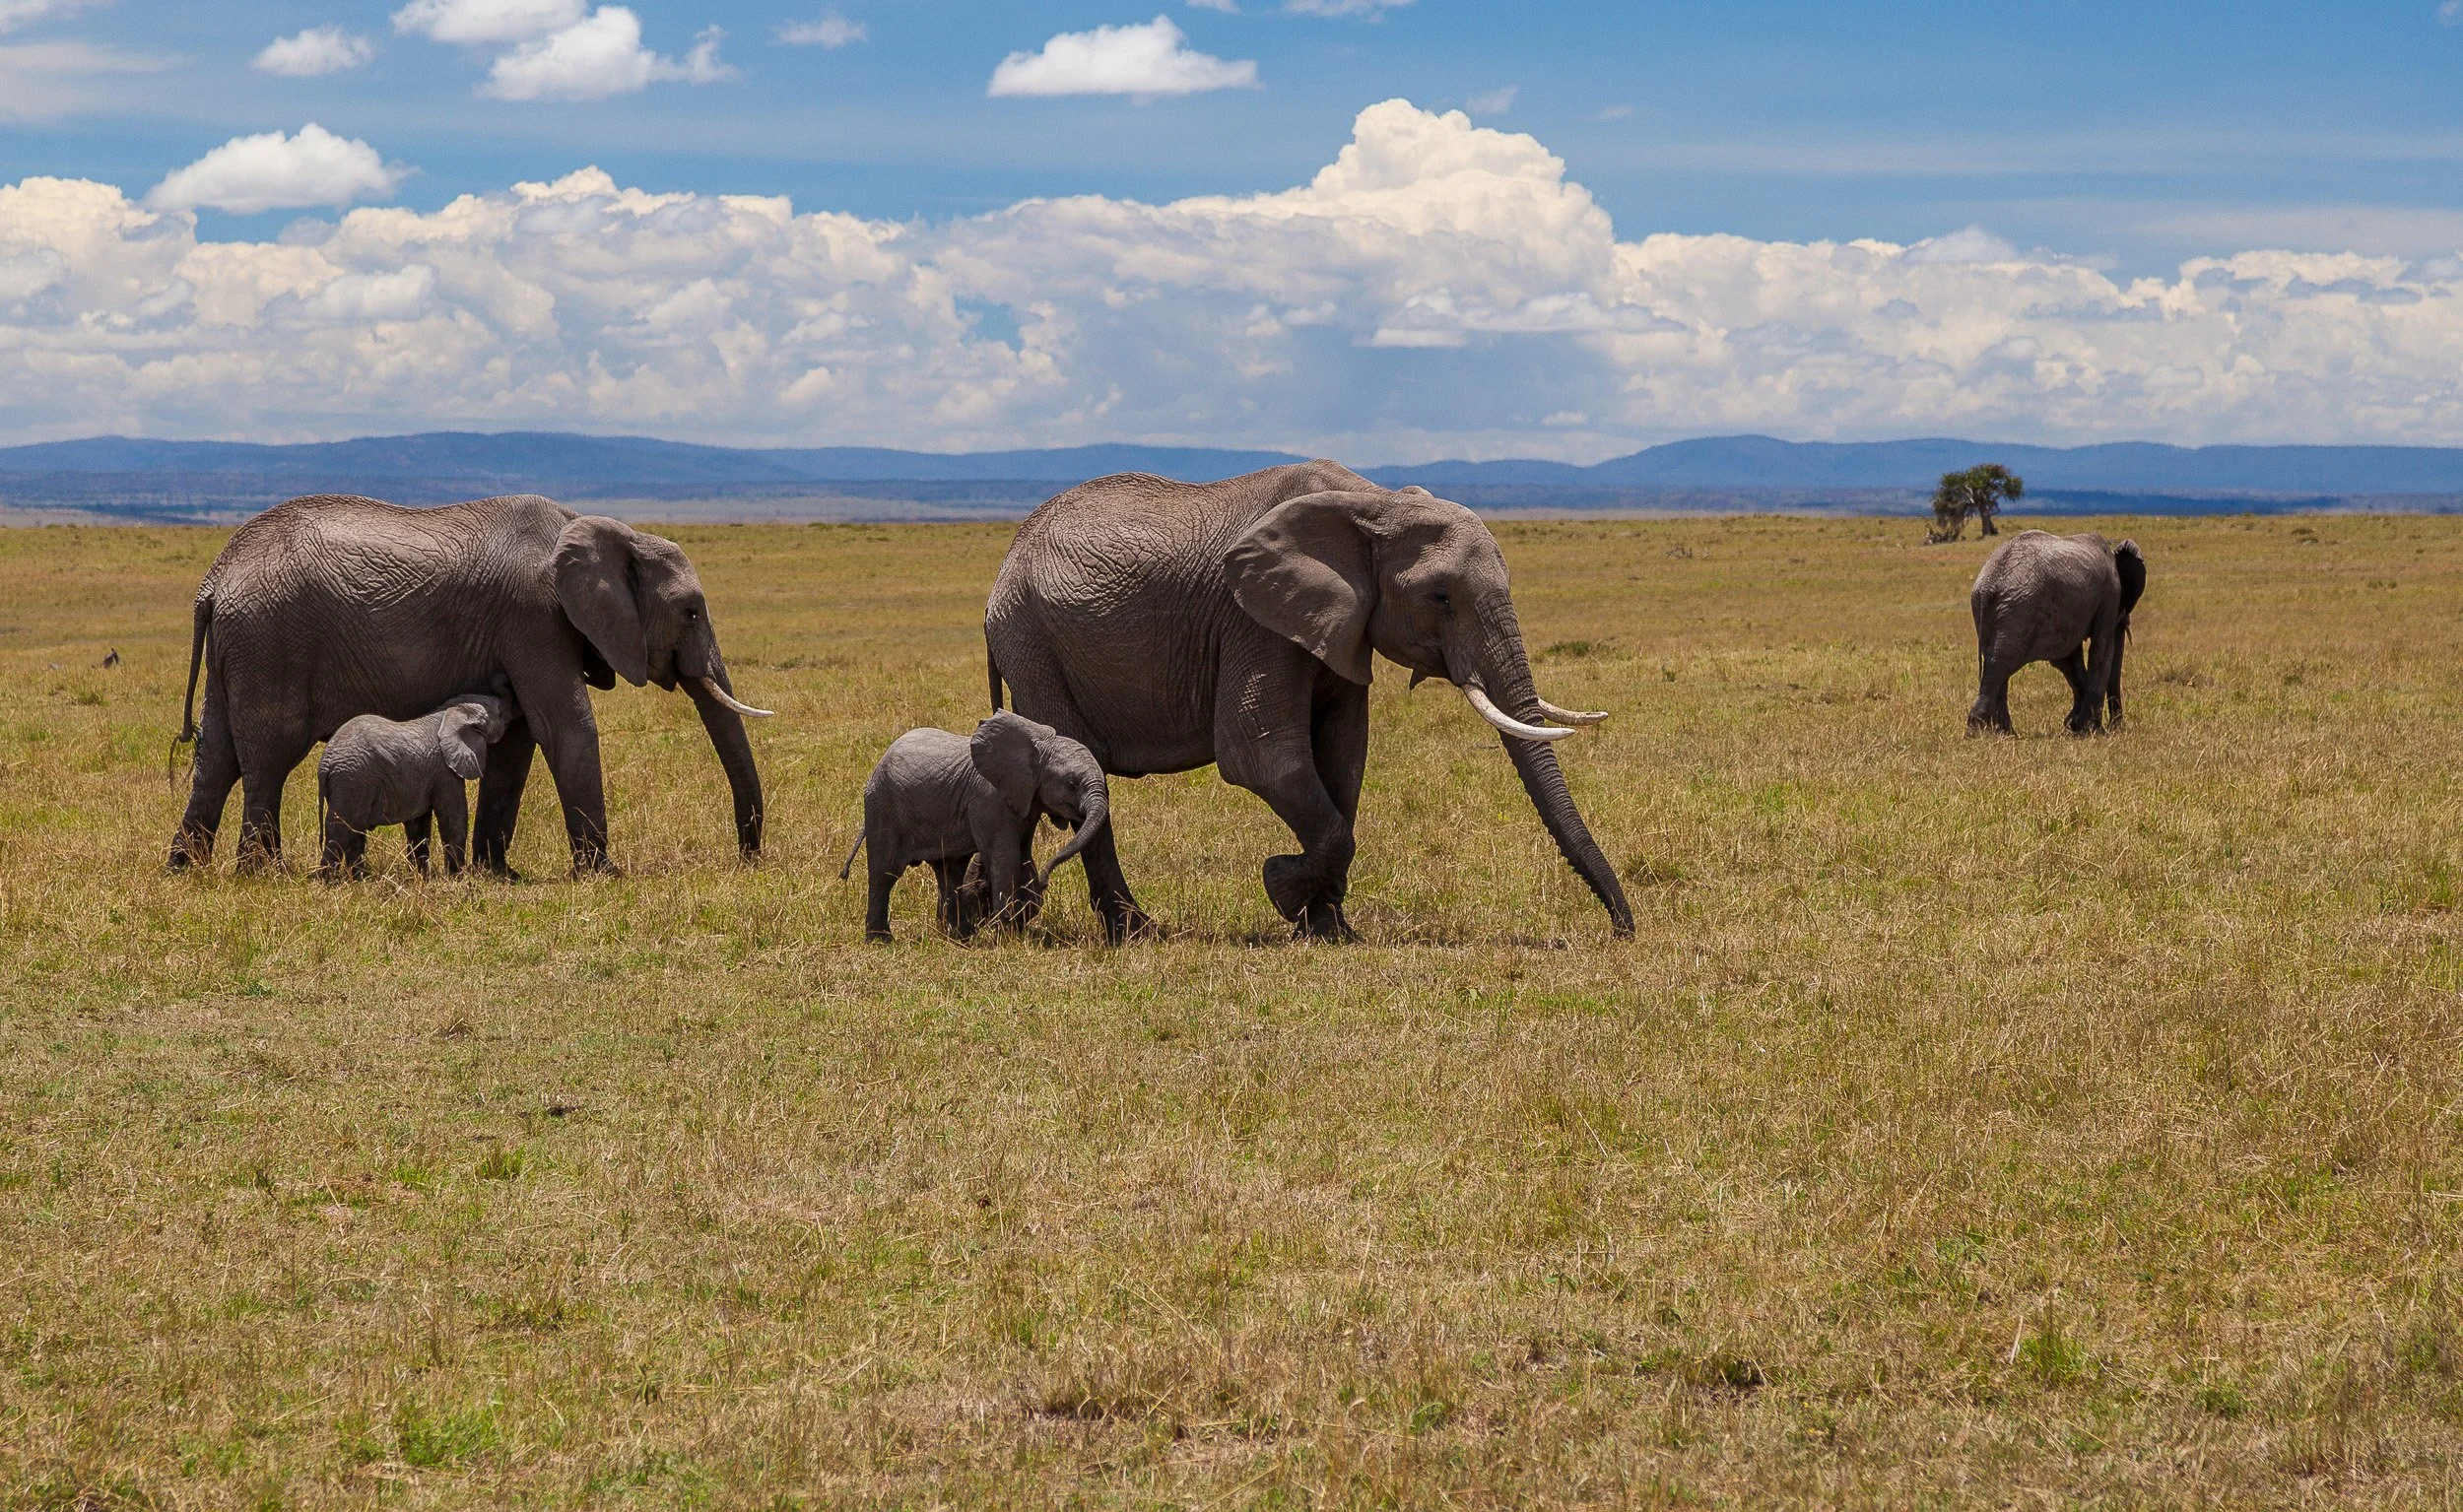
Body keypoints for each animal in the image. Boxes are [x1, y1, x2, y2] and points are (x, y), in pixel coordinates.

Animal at [317, 692, 517, 878]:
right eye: (499, 711)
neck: (451, 712)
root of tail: (325, 764)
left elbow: (418, 823)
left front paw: (423, 876)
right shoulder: (444, 770)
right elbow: (453, 816)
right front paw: (457, 877)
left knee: (354, 830)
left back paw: (361, 879)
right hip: (353, 781)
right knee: (340, 829)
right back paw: (328, 880)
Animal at [839, 711, 1111, 942]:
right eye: (1072, 783)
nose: (1046, 880)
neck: (1038, 747)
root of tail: (880, 762)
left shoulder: (1026, 801)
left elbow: (1023, 856)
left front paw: (1018, 920)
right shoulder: (988, 799)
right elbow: (1004, 858)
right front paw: (1004, 939)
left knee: (950, 872)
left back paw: (959, 937)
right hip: (882, 806)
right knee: (885, 873)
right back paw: (881, 941)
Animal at [983, 461, 1632, 942]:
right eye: (1440, 597)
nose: (1622, 929)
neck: (1373, 504)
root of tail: (1005, 565)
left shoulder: (1341, 625)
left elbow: (1343, 759)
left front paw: (1329, 927)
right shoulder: (1253, 620)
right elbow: (1260, 754)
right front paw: (1283, 886)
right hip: (1032, 639)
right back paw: (1134, 932)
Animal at [1967, 529, 2146, 736]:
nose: (2116, 726)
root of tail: (1989, 584)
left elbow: (2068, 659)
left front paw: (2074, 724)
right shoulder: (2110, 595)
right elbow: (2101, 651)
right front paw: (2090, 729)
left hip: (1998, 610)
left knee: (1997, 663)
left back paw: (2004, 732)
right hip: (2019, 610)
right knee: (2001, 661)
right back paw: (1980, 730)